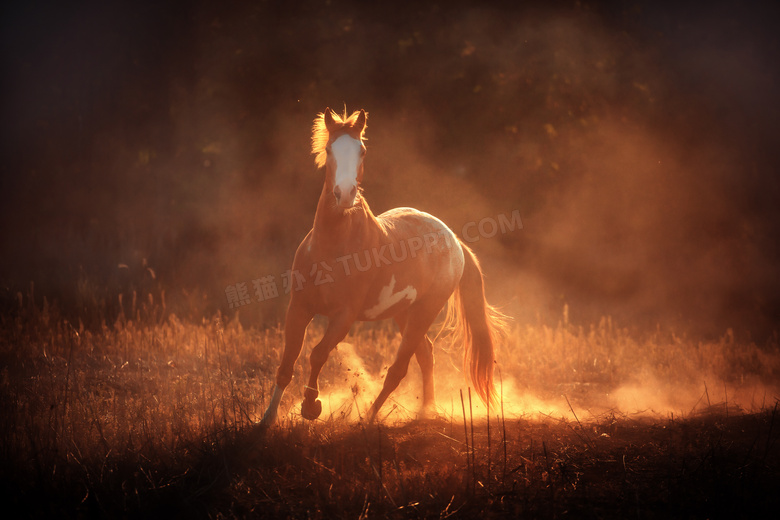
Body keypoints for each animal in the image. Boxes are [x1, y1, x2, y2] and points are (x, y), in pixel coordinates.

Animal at [258, 107, 508, 424]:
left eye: (362, 150)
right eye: (329, 149)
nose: (345, 194)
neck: (331, 250)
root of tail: (453, 239)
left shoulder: (344, 316)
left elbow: (317, 353)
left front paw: (311, 406)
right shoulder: (299, 307)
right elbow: (287, 362)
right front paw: (266, 420)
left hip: (426, 310)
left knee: (400, 368)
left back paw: (367, 418)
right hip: (404, 313)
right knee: (425, 355)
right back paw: (425, 411)